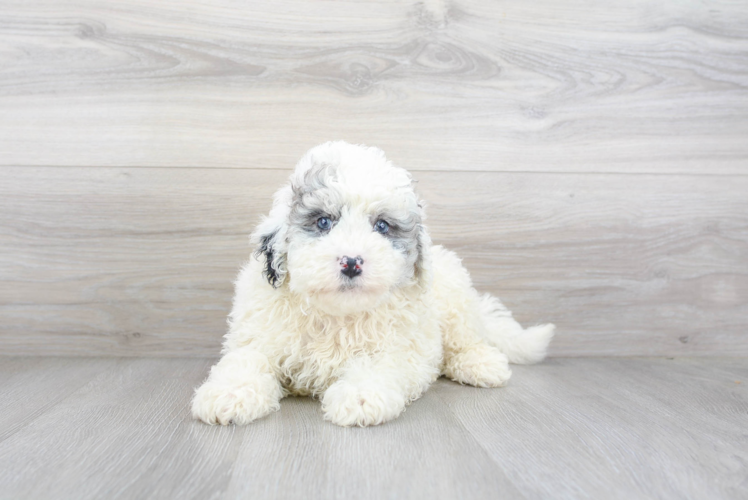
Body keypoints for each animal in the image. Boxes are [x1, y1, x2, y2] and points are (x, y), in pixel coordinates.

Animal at [193, 143, 556, 428]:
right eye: (323, 221)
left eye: (382, 226)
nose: (352, 262)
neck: (336, 315)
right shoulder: (259, 337)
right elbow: (246, 360)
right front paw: (228, 394)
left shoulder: (396, 347)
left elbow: (375, 365)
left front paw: (360, 397)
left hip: (457, 299)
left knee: (466, 339)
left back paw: (480, 364)